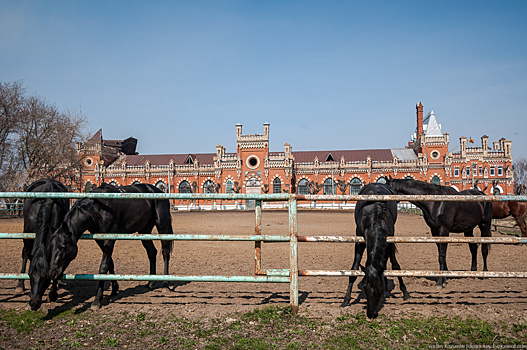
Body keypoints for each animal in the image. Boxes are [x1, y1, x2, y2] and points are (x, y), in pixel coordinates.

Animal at [18, 179, 69, 310]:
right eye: (30, 274)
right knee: (24, 255)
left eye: (46, 277)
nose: (34, 303)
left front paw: (53, 294)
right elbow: (27, 256)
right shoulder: (28, 234)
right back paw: (19, 285)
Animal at [48, 182, 174, 310]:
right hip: (145, 230)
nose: (52, 273)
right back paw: (151, 282)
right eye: (51, 246)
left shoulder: (110, 238)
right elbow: (110, 262)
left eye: (63, 246)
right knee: (152, 252)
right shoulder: (99, 239)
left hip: (162, 226)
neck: (98, 208)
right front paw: (114, 289)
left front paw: (97, 299)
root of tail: (159, 190)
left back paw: (165, 285)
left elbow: (103, 266)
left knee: (165, 252)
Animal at [342, 182, 412, 318]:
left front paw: (405, 292)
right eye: (364, 287)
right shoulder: (359, 240)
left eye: (379, 287)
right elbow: (354, 268)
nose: (371, 314)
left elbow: (395, 265)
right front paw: (346, 299)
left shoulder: (389, 240)